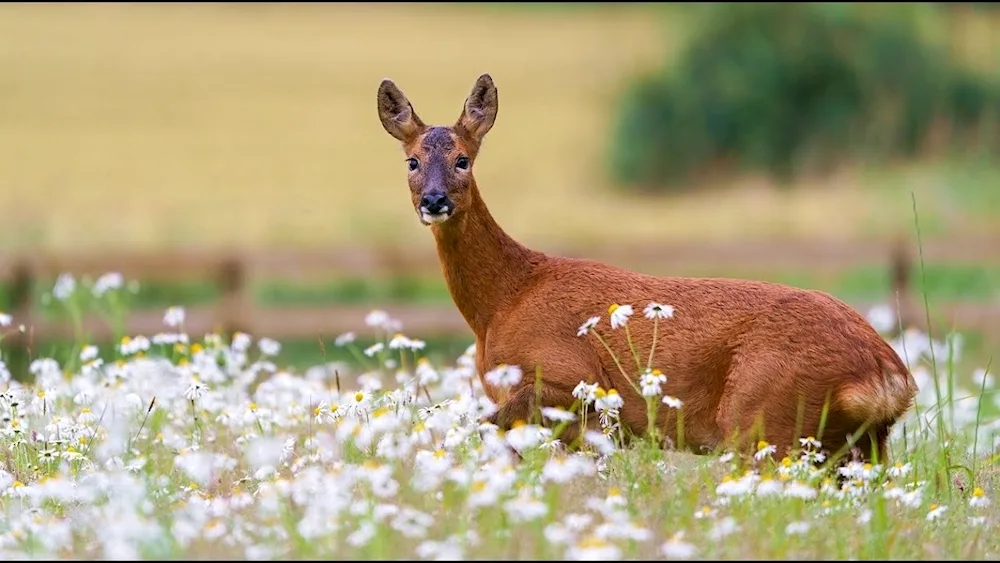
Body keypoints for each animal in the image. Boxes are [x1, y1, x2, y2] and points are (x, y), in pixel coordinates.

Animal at [376, 72, 920, 464]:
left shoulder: (571, 379)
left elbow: (485, 426)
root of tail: (888, 375)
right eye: (411, 162)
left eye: (463, 160)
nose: (435, 201)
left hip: (767, 419)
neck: (505, 300)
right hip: (855, 447)